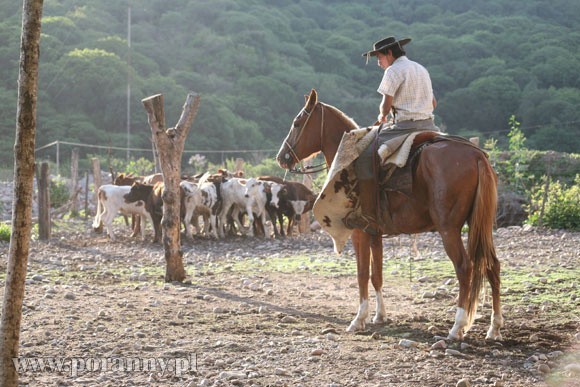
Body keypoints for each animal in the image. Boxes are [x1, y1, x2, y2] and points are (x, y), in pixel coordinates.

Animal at [276, 89, 502, 342]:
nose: (282, 156)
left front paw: (359, 319)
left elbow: (362, 274)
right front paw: (379, 316)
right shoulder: (375, 233)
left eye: (297, 123)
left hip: (449, 230)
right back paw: (494, 327)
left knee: (464, 268)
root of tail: (476, 156)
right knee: (492, 265)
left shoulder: (360, 232)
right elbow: (377, 275)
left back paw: (457, 327)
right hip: (480, 226)